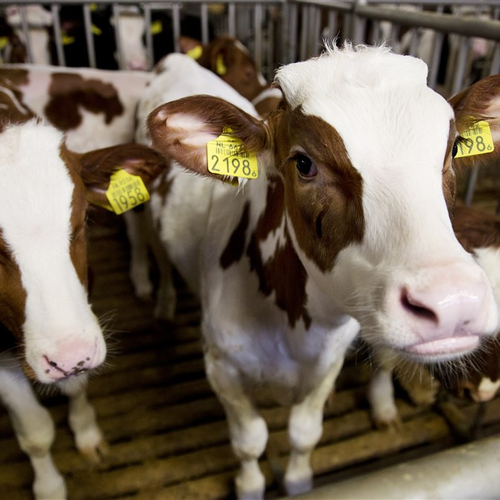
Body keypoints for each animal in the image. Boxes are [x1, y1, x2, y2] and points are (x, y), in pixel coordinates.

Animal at [0, 115, 167, 498]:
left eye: (83, 219)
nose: (69, 355)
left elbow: (76, 386)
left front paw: (87, 432)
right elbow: (36, 433)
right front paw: (49, 487)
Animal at [135, 45, 498, 498]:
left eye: (452, 150)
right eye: (304, 163)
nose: (452, 300)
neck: (294, 326)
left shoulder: (328, 363)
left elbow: (304, 435)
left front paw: (299, 479)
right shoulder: (221, 367)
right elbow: (249, 440)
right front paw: (250, 485)